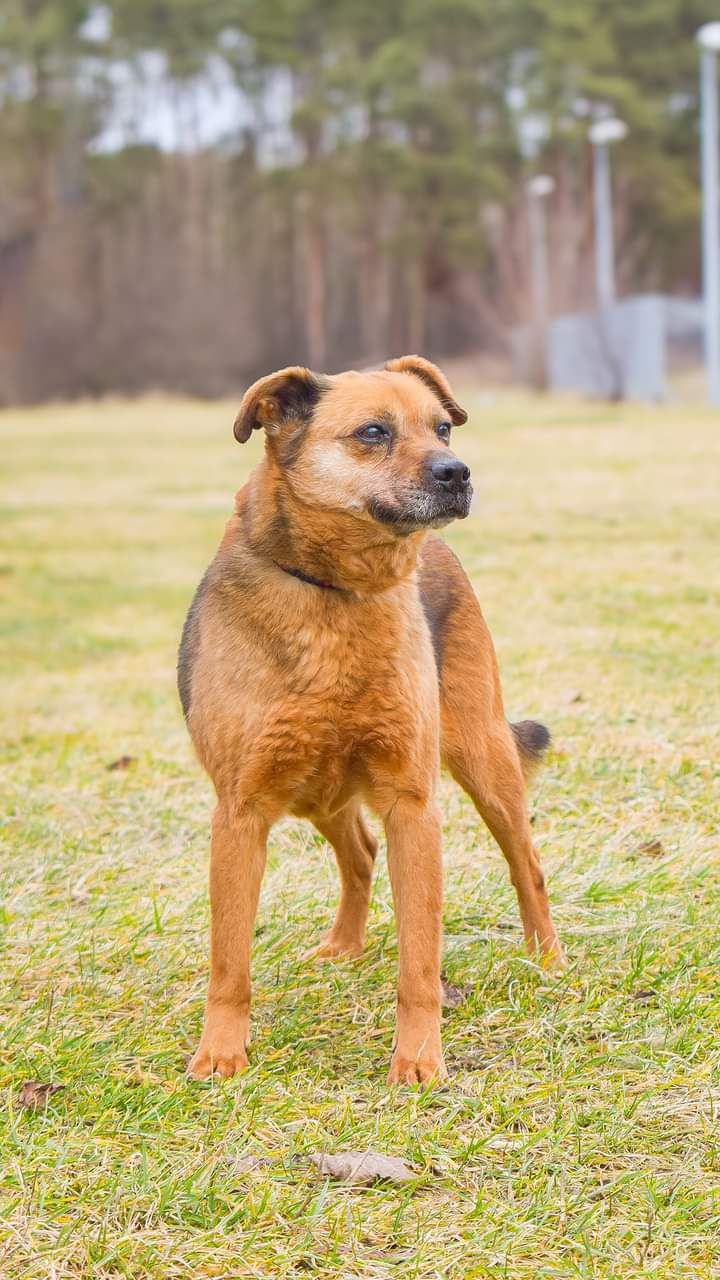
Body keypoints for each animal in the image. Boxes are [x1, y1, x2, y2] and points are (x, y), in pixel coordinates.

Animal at [178, 355, 561, 1085]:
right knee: (358, 853)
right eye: (373, 432)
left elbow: (419, 959)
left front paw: (418, 1059)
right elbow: (229, 959)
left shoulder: (413, 805)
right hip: (317, 790)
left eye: (442, 427)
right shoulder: (239, 814)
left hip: (482, 761)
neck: (337, 591)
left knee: (526, 863)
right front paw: (222, 1052)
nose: (457, 471)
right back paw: (344, 946)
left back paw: (547, 958)